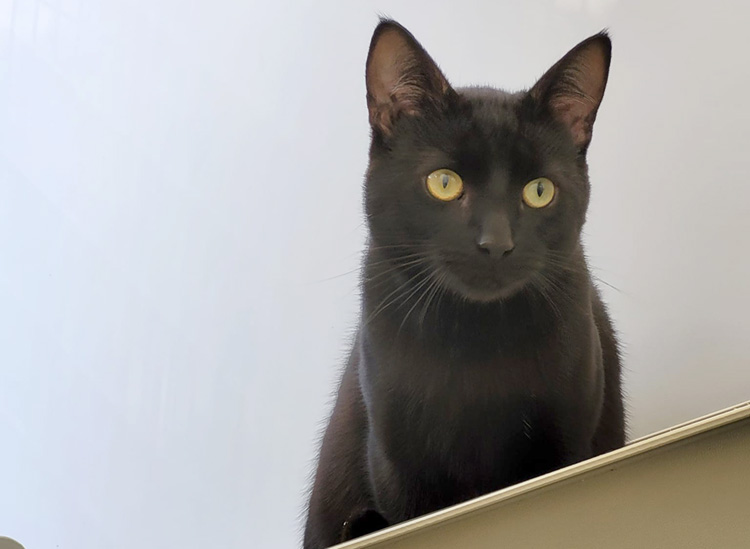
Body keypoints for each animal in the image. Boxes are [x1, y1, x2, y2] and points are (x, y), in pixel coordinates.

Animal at [306, 19, 628, 544]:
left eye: (539, 191)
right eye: (444, 182)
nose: (495, 242)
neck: (475, 340)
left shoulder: (566, 446)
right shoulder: (400, 468)